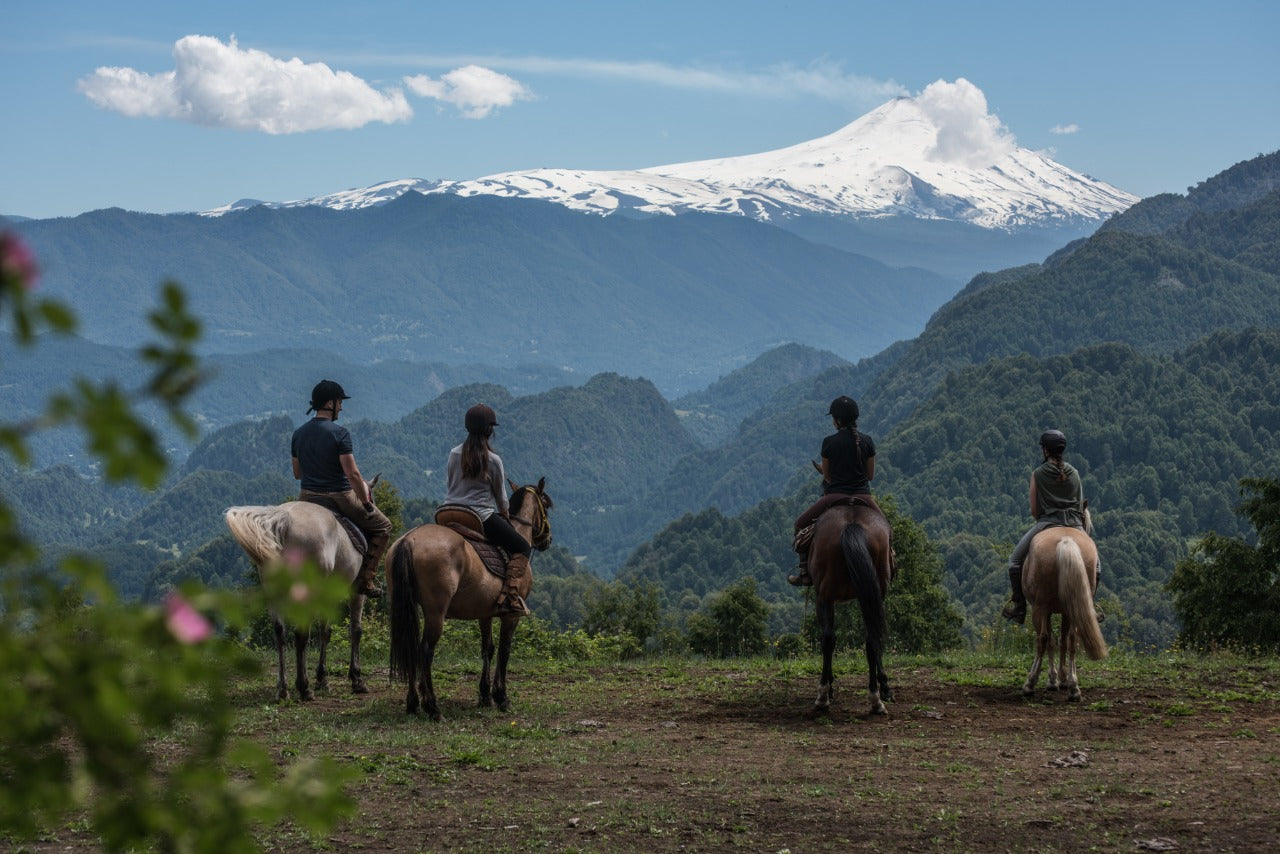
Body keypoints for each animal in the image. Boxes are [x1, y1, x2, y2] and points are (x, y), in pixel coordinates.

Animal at [222, 501, 373, 701]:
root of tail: (284, 518)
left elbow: (325, 632)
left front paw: (322, 680)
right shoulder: (355, 591)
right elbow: (355, 631)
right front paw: (356, 679)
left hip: (274, 591)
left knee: (280, 633)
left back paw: (283, 689)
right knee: (301, 635)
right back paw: (304, 688)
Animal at [386, 481, 552, 722]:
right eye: (546, 505)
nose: (548, 539)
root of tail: (409, 539)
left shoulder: (485, 613)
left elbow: (487, 649)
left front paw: (484, 696)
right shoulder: (511, 616)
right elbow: (504, 650)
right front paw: (501, 697)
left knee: (410, 647)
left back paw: (413, 703)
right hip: (436, 613)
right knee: (424, 651)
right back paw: (432, 707)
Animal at [808, 496, 890, 717]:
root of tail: (851, 525)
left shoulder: (825, 598)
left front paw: (829, 688)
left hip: (824, 595)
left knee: (829, 638)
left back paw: (822, 695)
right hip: (869, 592)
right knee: (871, 637)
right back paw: (875, 698)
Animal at [1013, 507, 1105, 701]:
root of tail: (1066, 541)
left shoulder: (1045, 610)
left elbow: (1051, 640)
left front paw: (1053, 680)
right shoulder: (1066, 611)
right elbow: (1062, 640)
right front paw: (1064, 680)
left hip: (1039, 607)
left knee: (1042, 639)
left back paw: (1029, 684)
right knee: (1072, 639)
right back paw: (1074, 689)